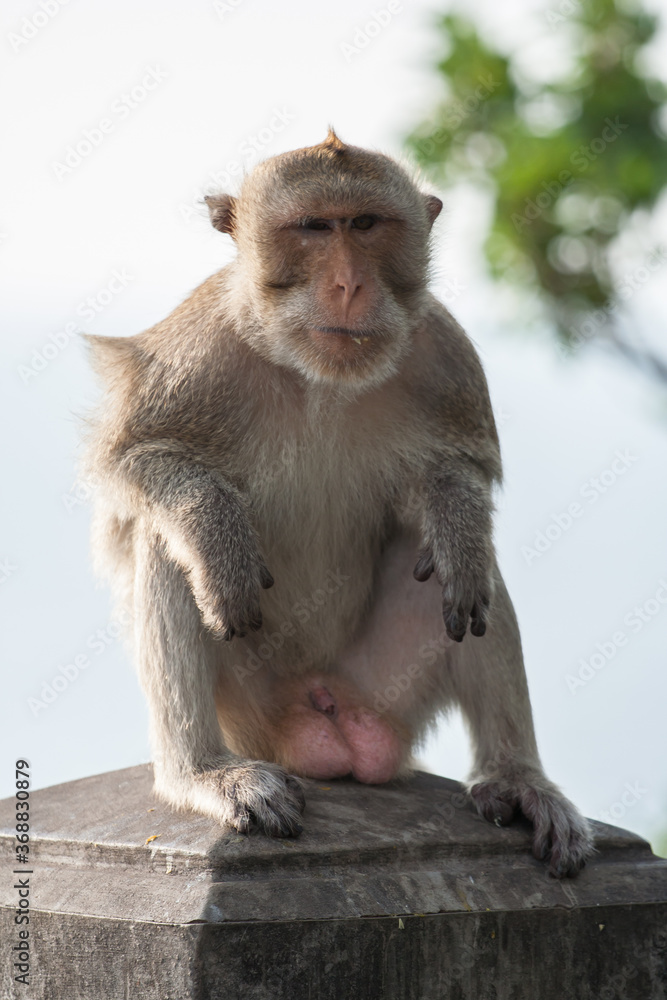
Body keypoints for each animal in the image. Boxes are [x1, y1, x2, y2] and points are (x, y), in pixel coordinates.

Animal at [84, 129, 593, 877]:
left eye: (366, 225)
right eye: (314, 228)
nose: (350, 284)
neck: (316, 374)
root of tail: (322, 714)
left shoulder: (443, 351)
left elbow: (462, 471)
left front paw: (454, 513)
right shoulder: (198, 352)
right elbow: (132, 463)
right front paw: (217, 533)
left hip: (381, 688)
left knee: (464, 574)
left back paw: (517, 779)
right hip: (253, 703)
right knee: (164, 540)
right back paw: (202, 772)